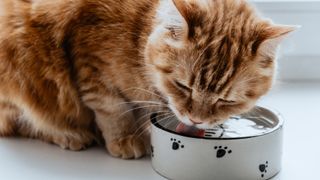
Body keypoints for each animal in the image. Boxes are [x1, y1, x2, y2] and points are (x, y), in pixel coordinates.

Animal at [0, 0, 296, 158]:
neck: (137, 32)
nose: (196, 119)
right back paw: (68, 134)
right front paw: (125, 137)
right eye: (183, 86)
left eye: (226, 100)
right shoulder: (91, 62)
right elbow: (112, 108)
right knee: (23, 120)